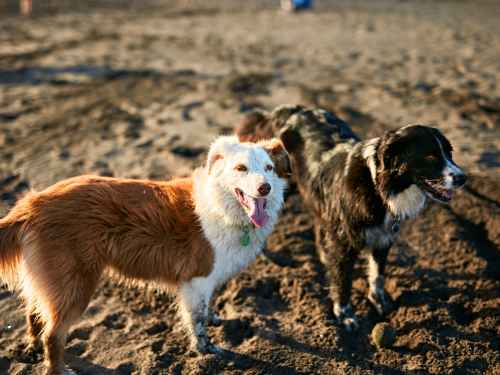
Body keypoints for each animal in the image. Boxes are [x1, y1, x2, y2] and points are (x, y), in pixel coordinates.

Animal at [0, 137, 288, 374]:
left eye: (269, 168)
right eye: (241, 168)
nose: (265, 188)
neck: (222, 205)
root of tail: (32, 204)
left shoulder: (207, 281)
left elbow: (206, 310)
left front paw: (215, 319)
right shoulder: (197, 280)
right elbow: (197, 320)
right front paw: (206, 352)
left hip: (51, 280)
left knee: (34, 313)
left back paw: (33, 348)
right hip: (75, 284)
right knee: (53, 335)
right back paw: (58, 368)